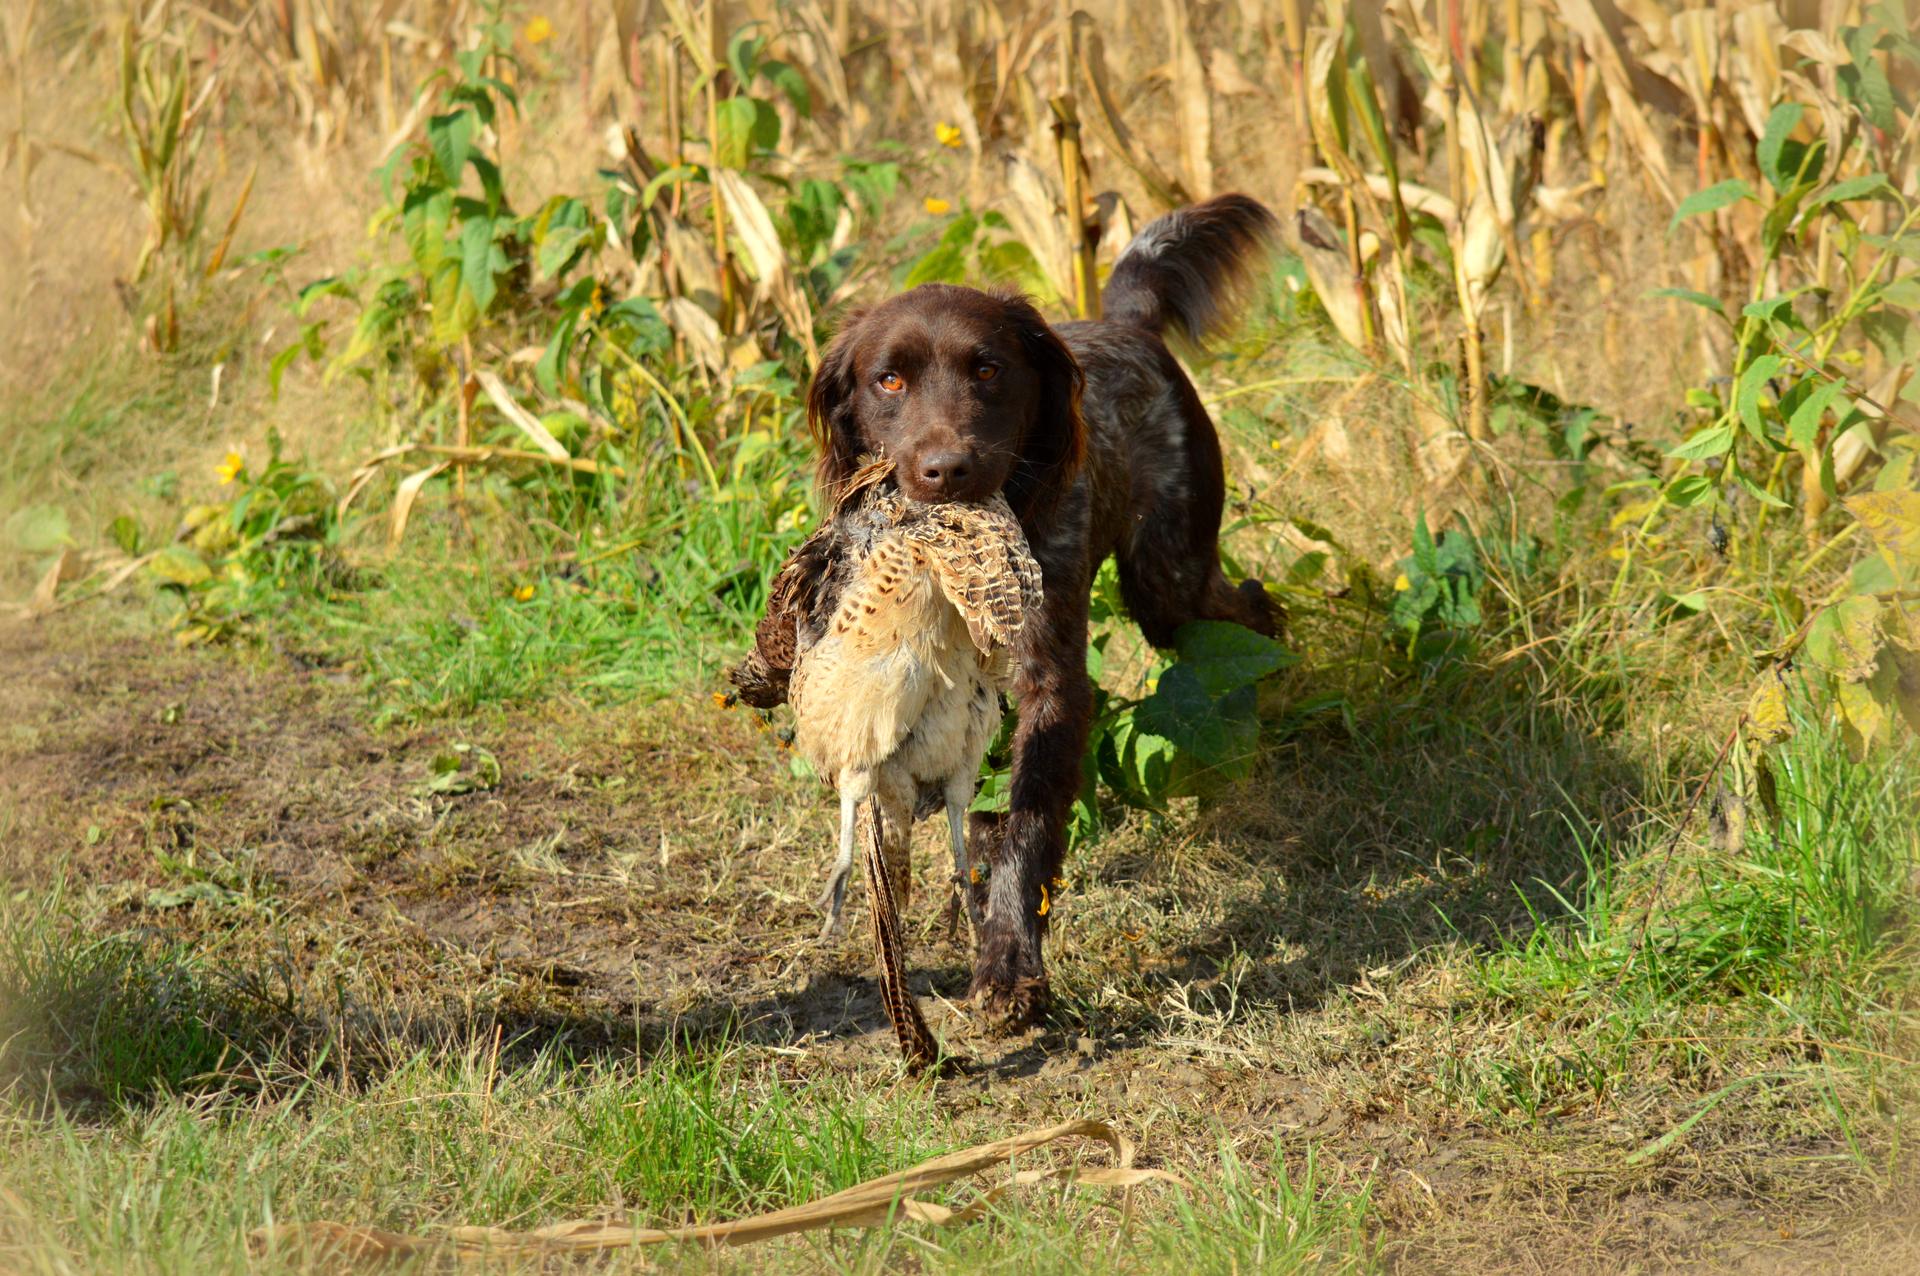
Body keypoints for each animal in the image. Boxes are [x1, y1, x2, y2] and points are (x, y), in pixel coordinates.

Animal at [802, 191, 1282, 1028]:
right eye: (888, 380)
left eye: (989, 369)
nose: (947, 470)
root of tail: (1126, 323)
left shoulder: (1052, 681)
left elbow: (1028, 823)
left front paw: (1010, 964)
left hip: (1168, 582)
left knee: (1243, 610)